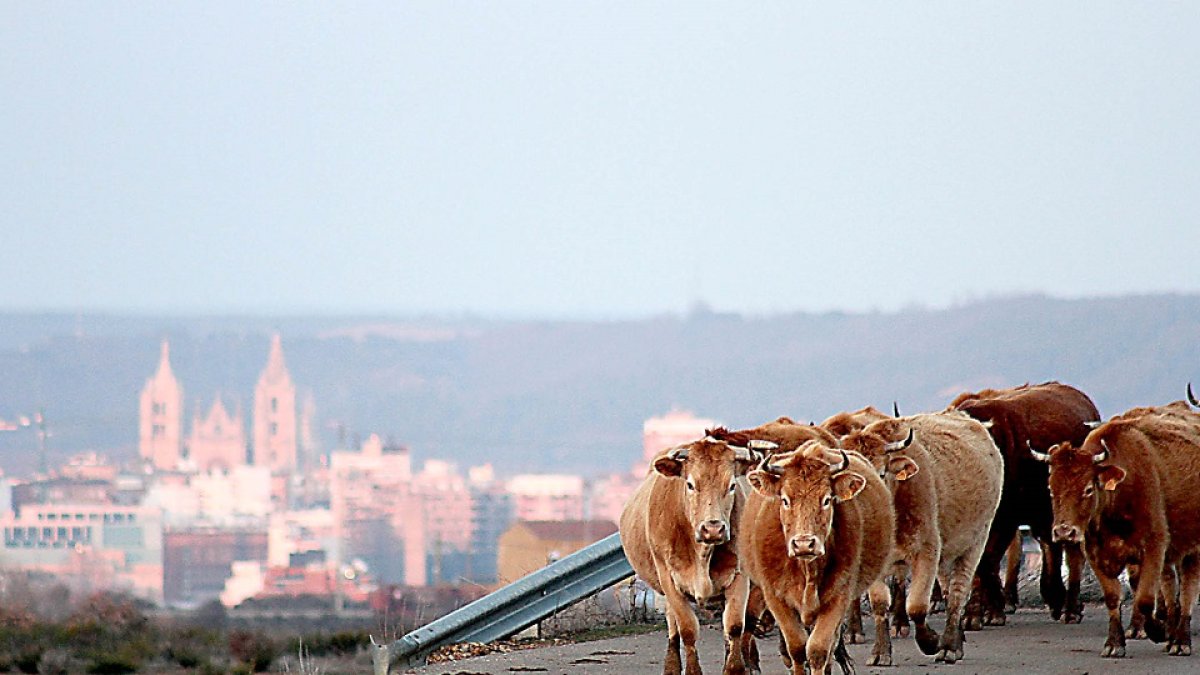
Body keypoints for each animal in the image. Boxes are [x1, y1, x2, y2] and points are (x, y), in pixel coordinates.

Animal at [620, 435, 761, 675]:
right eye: (690, 484)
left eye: (732, 485)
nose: (713, 528)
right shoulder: (668, 579)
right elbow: (687, 629)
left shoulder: (739, 577)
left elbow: (734, 627)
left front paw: (735, 668)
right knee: (673, 626)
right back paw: (672, 665)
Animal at [739, 441, 896, 674]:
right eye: (785, 500)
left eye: (827, 499)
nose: (804, 544)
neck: (808, 571)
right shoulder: (776, 597)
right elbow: (797, 648)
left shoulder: (838, 597)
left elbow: (818, 650)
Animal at [839, 411, 1003, 664]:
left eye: (881, 473)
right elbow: (880, 604)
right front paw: (880, 651)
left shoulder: (927, 551)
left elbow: (916, 606)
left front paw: (931, 642)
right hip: (947, 554)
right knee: (948, 591)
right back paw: (956, 641)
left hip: (975, 544)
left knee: (958, 593)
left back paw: (949, 646)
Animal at [949, 381, 1100, 628]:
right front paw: (979, 612)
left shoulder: (1005, 520)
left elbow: (987, 559)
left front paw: (989, 612)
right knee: (1050, 545)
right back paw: (1056, 598)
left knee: (1070, 552)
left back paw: (1069, 607)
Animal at [1033, 406, 1200, 657]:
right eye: (1051, 488)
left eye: (1088, 489)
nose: (1064, 532)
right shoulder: (1095, 554)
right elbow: (1113, 598)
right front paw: (1114, 643)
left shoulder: (1154, 547)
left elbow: (1145, 599)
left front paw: (1156, 631)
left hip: (1193, 549)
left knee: (1188, 590)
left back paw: (1180, 641)